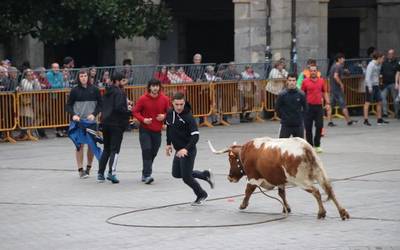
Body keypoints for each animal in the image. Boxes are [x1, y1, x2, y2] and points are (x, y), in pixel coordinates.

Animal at [209, 136, 350, 220]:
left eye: (230, 159)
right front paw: (286, 208)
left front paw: (243, 205)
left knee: (316, 191)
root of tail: (304, 147)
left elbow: (248, 191)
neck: (247, 151)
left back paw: (321, 212)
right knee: (330, 190)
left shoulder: (253, 178)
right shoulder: (280, 180)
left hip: (301, 180)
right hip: (319, 173)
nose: (229, 177)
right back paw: (342, 212)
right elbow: (282, 194)